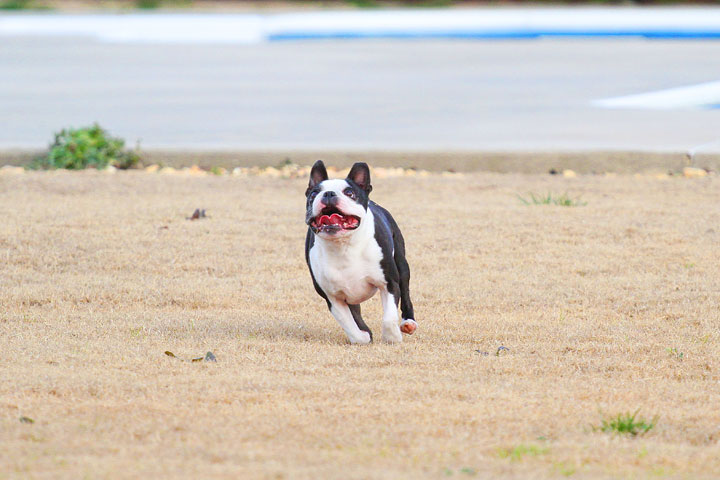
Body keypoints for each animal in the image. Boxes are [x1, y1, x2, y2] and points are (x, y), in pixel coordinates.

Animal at [304, 162, 416, 344]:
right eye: (313, 194)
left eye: (350, 193)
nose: (328, 193)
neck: (343, 245)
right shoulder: (332, 297)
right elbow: (349, 324)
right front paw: (364, 336)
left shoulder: (389, 283)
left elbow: (389, 318)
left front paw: (392, 337)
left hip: (402, 264)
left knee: (405, 291)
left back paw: (409, 322)